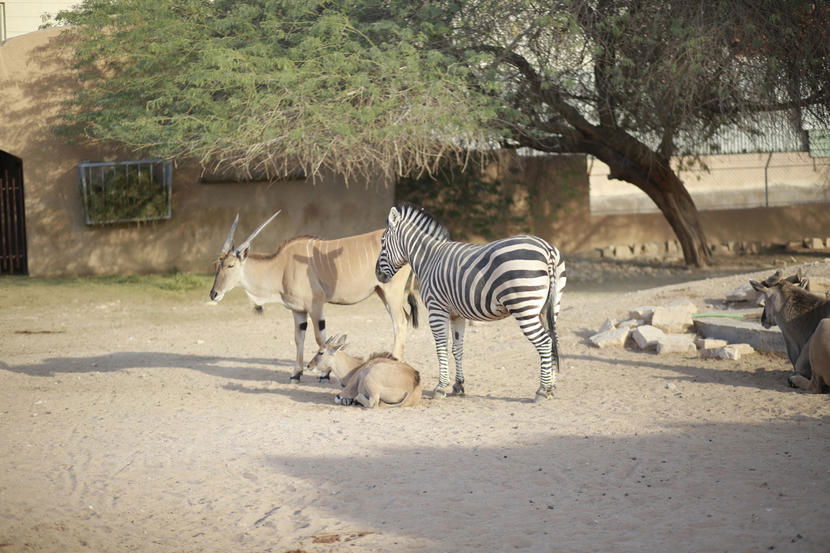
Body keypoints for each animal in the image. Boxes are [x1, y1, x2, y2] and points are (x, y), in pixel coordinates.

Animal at [208, 209, 416, 382]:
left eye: (230, 265)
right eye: (217, 265)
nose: (213, 294)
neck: (282, 267)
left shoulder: (316, 305)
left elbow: (320, 338)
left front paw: (325, 373)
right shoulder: (298, 310)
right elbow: (298, 338)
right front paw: (296, 373)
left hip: (391, 293)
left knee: (399, 322)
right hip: (383, 293)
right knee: (404, 319)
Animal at [376, 203, 564, 402]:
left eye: (382, 242)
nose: (377, 274)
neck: (429, 259)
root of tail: (547, 249)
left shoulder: (436, 309)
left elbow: (441, 347)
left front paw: (441, 387)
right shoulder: (456, 314)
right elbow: (457, 349)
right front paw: (458, 386)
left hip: (524, 307)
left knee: (544, 342)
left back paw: (542, 390)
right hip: (549, 307)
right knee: (553, 340)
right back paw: (551, 388)